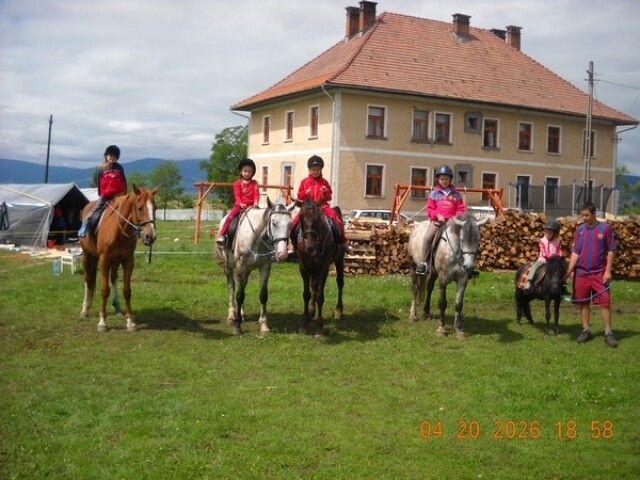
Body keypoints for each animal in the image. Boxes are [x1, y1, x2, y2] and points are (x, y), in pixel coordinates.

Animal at [79, 186, 159, 332]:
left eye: (155, 208)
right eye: (139, 207)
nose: (150, 236)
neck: (119, 229)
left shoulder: (128, 261)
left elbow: (127, 291)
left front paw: (130, 322)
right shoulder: (104, 261)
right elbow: (105, 290)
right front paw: (102, 322)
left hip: (115, 261)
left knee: (114, 278)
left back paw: (117, 308)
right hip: (87, 255)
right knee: (88, 279)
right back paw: (85, 310)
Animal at [215, 197, 296, 336]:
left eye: (290, 224)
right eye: (274, 222)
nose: (282, 254)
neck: (256, 237)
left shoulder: (265, 268)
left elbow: (263, 295)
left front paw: (264, 325)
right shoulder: (241, 268)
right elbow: (239, 296)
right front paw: (237, 326)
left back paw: (242, 314)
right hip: (228, 267)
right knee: (232, 287)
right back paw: (231, 316)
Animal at [296, 197, 344, 336]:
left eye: (317, 218)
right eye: (301, 217)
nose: (310, 246)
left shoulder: (323, 268)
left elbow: (320, 296)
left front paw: (319, 327)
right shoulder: (304, 267)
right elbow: (306, 294)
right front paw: (304, 323)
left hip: (339, 260)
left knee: (340, 283)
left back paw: (338, 311)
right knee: (314, 285)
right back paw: (312, 311)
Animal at [408, 212, 488, 340]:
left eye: (478, 240)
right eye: (462, 239)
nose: (469, 267)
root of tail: (416, 225)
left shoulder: (462, 280)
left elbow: (458, 305)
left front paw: (459, 331)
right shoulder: (443, 280)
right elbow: (442, 303)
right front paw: (441, 329)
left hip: (433, 273)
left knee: (429, 288)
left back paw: (427, 313)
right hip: (413, 266)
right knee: (415, 289)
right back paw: (412, 315)